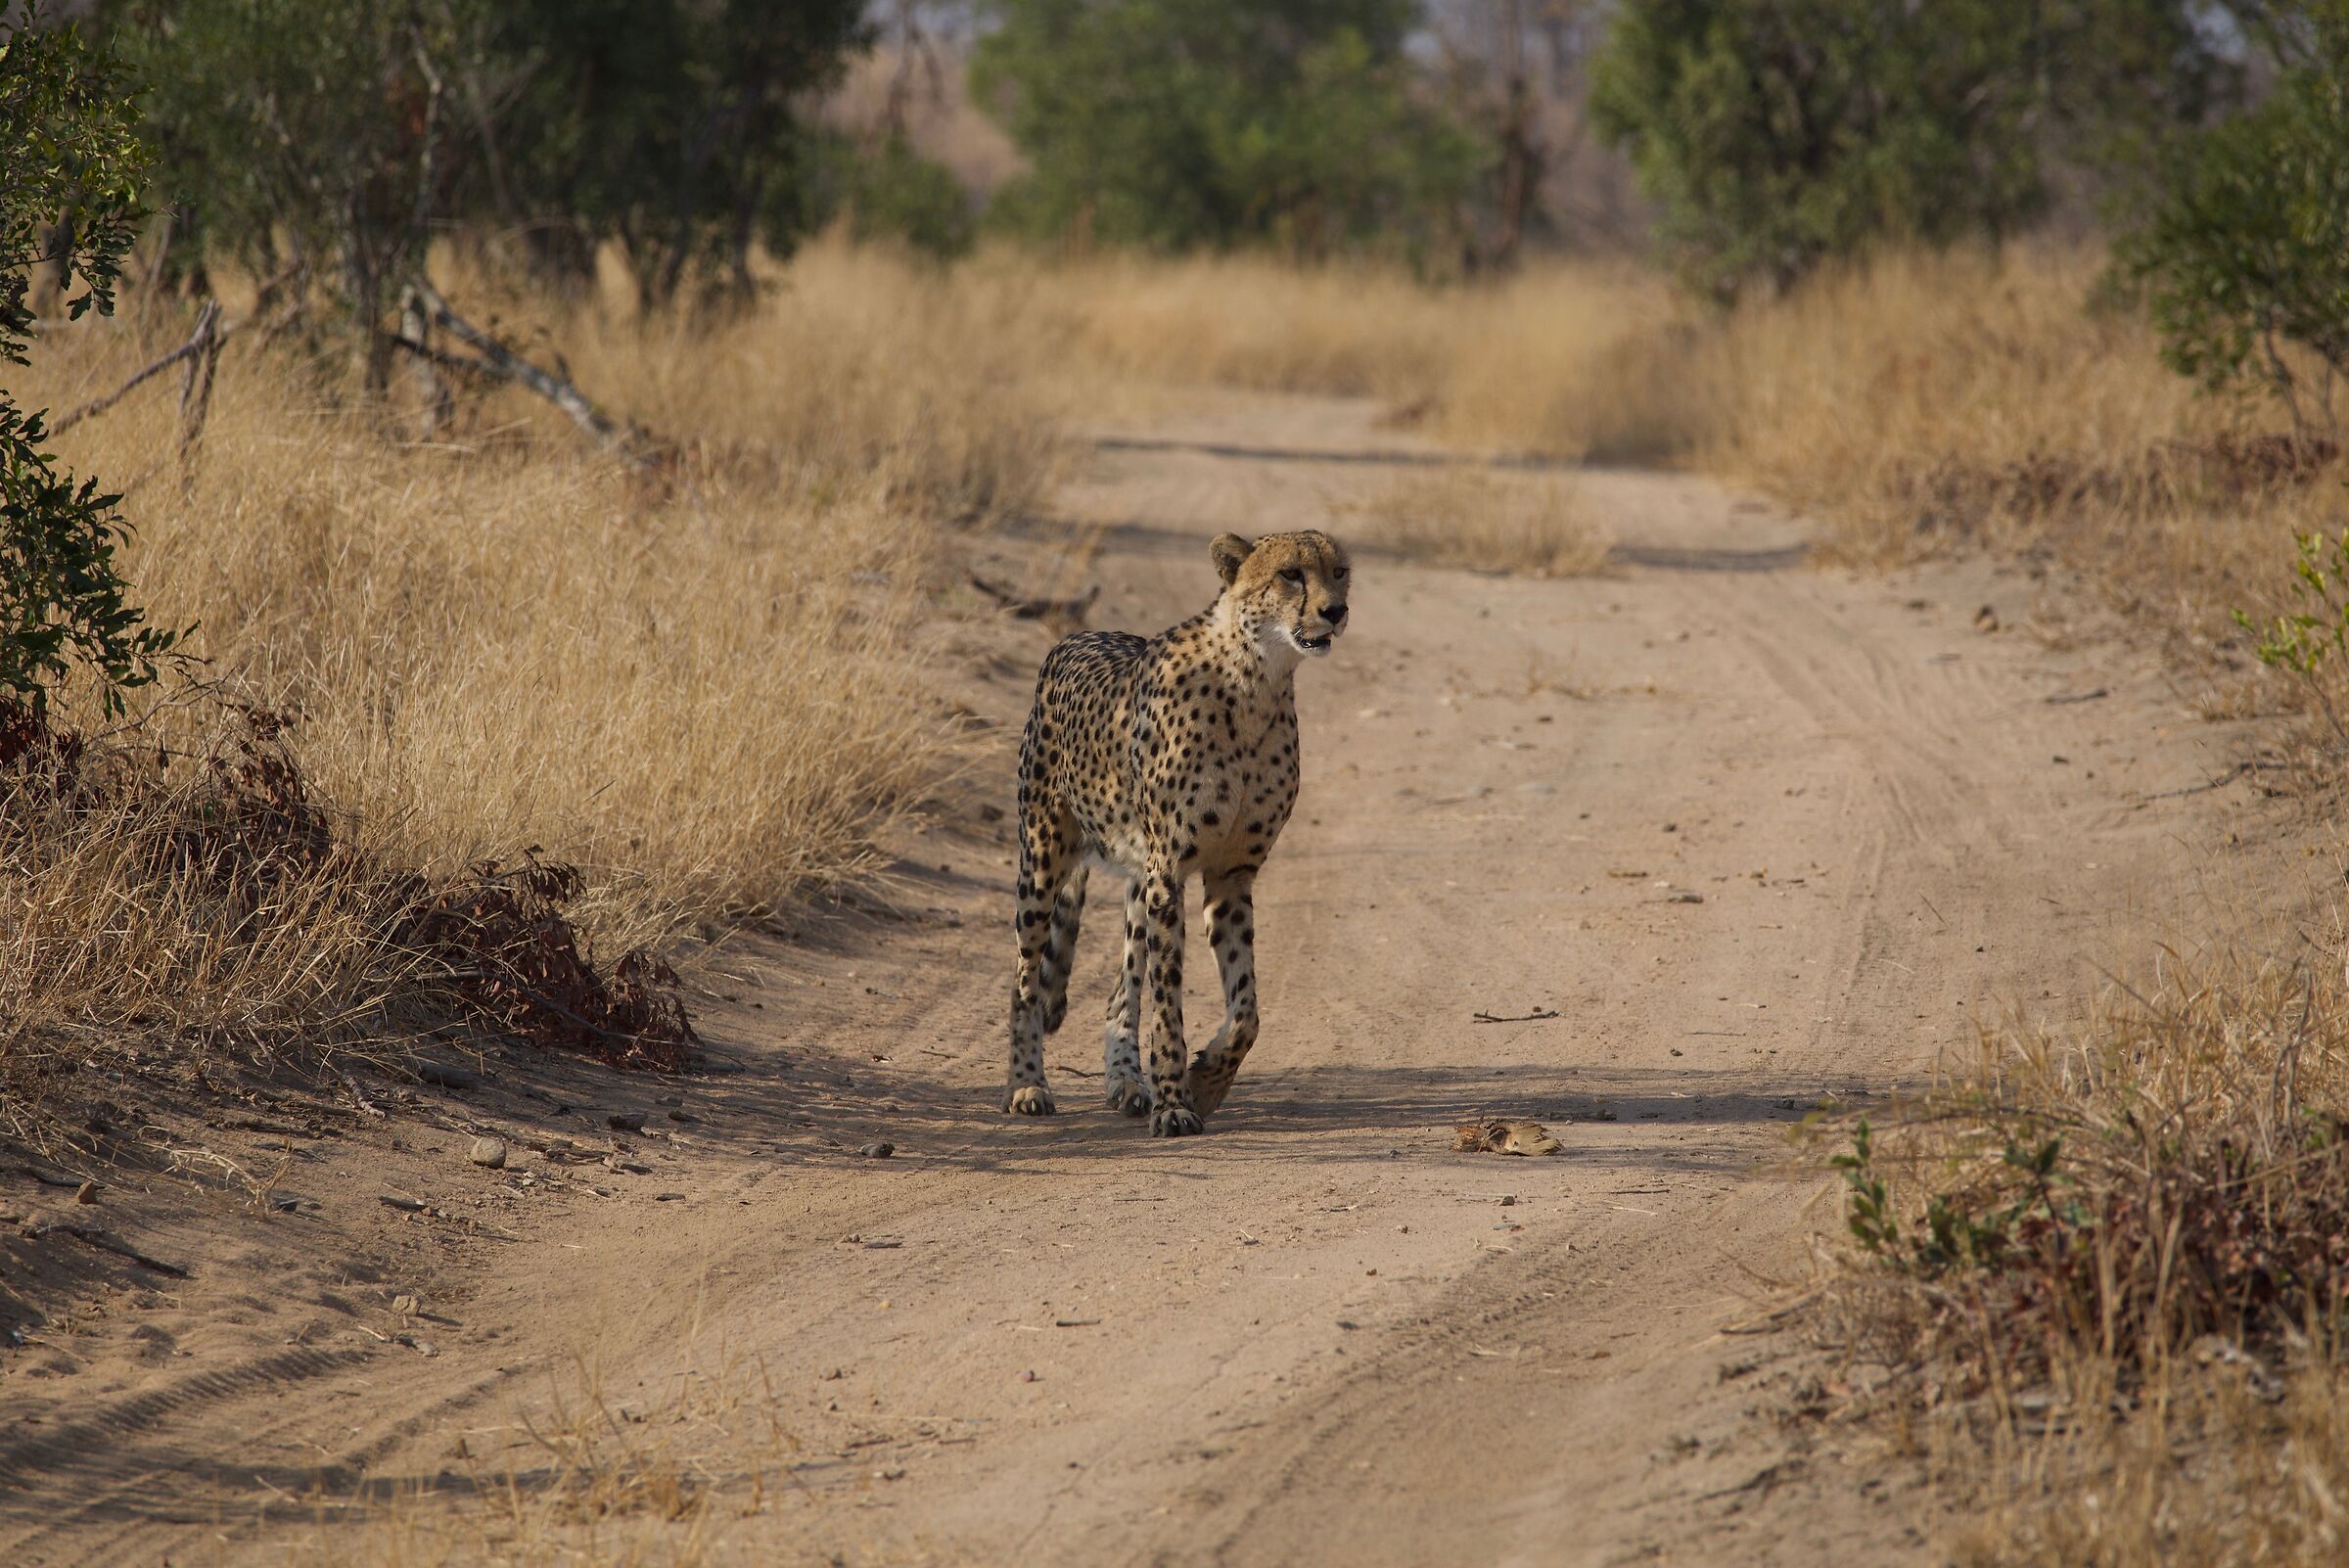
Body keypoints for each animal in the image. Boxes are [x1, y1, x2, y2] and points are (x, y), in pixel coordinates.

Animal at [1002, 529, 1350, 1137]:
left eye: (1340, 571)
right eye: (1290, 573)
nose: (1336, 610)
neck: (1255, 680)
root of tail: (1076, 636)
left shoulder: (1231, 873)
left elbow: (1246, 1010)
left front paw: (1206, 1081)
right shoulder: (1172, 872)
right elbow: (1168, 1001)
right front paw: (1174, 1102)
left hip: (1137, 881)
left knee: (1120, 989)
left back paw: (1125, 1082)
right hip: (1043, 856)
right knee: (1024, 977)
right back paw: (1028, 1084)